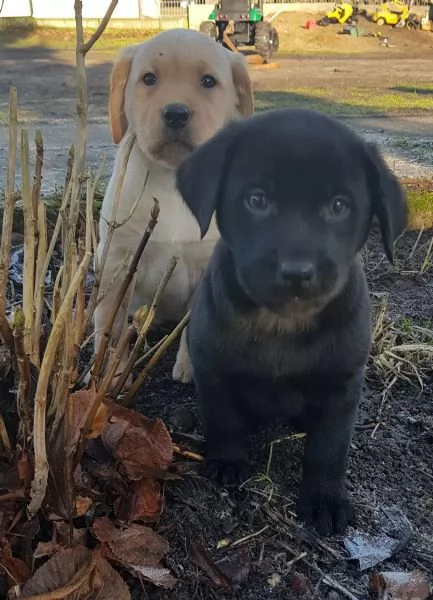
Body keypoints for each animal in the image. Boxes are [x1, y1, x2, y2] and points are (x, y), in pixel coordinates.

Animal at [93, 29, 251, 384]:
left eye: (208, 81)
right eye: (149, 79)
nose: (176, 113)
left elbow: (196, 329)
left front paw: (190, 367)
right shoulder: (118, 260)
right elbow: (109, 323)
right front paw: (110, 372)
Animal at [175, 110, 404, 536]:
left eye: (339, 206)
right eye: (257, 200)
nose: (297, 271)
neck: (282, 325)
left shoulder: (343, 385)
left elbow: (329, 447)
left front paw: (325, 498)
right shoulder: (211, 367)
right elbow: (223, 418)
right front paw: (228, 460)